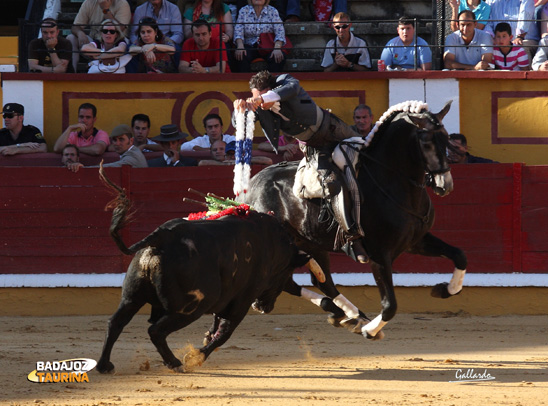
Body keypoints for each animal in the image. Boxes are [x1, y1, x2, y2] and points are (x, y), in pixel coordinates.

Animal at [95, 169, 322, 374]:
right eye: (287, 272)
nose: (263, 307)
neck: (275, 244)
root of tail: (162, 237)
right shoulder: (242, 300)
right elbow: (224, 332)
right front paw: (196, 357)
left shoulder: (226, 297)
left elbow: (216, 326)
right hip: (191, 307)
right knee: (156, 331)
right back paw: (175, 363)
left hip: (132, 297)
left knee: (115, 323)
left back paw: (104, 365)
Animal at [246, 101, 468, 340]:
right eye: (426, 142)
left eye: (446, 138)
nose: (445, 185)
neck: (391, 180)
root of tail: (251, 185)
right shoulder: (379, 254)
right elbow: (390, 305)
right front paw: (370, 331)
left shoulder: (416, 241)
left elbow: (460, 255)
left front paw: (445, 289)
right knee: (285, 279)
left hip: (311, 243)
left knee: (322, 281)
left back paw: (349, 315)